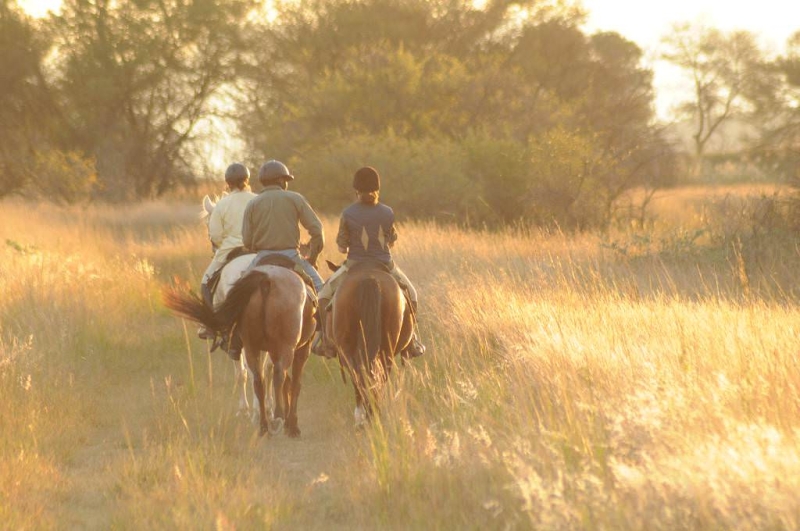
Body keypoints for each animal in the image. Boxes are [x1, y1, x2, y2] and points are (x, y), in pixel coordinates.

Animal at [164, 264, 314, 436]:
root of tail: (266, 280)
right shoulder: (302, 350)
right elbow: (295, 383)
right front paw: (292, 425)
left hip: (252, 347)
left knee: (258, 379)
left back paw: (263, 423)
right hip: (283, 347)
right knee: (277, 376)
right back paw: (276, 419)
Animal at [324, 262, 412, 428]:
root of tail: (369, 279)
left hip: (348, 349)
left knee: (360, 376)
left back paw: (366, 415)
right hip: (386, 350)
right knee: (376, 377)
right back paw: (374, 412)